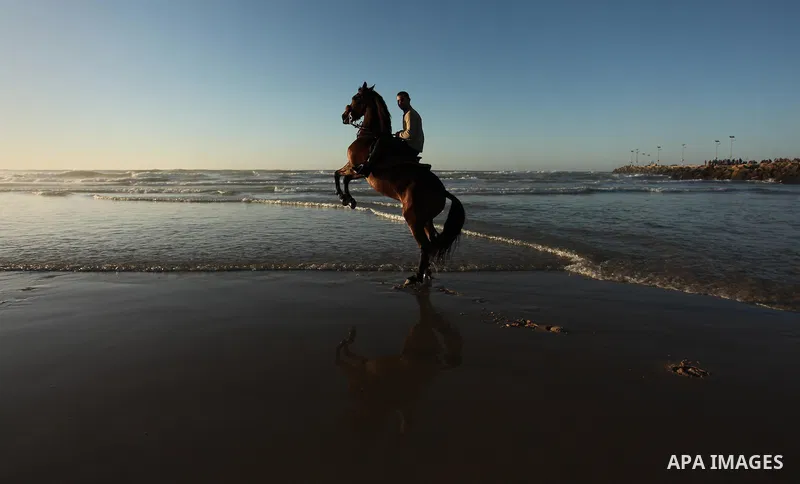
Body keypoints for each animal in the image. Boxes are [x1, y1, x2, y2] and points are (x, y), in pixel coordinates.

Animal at [335, 82, 466, 285]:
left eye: (356, 98)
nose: (344, 116)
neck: (370, 137)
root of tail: (443, 191)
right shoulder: (359, 171)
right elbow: (343, 177)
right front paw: (349, 200)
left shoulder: (356, 167)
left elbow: (338, 175)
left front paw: (345, 198)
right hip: (425, 219)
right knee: (432, 242)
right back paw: (426, 274)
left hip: (413, 218)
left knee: (425, 245)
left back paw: (416, 277)